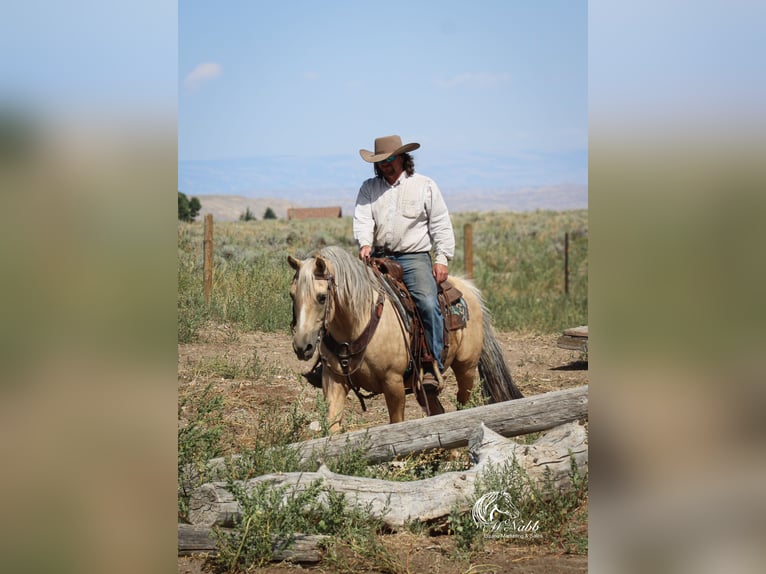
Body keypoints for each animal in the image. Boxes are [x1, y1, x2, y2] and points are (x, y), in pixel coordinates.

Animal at [288, 245, 522, 433]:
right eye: (292, 295)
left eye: (322, 297)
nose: (302, 346)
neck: (357, 324)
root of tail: (466, 288)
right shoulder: (334, 380)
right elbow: (332, 426)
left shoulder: (393, 383)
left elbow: (396, 424)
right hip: (426, 386)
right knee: (438, 411)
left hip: (466, 368)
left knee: (462, 405)